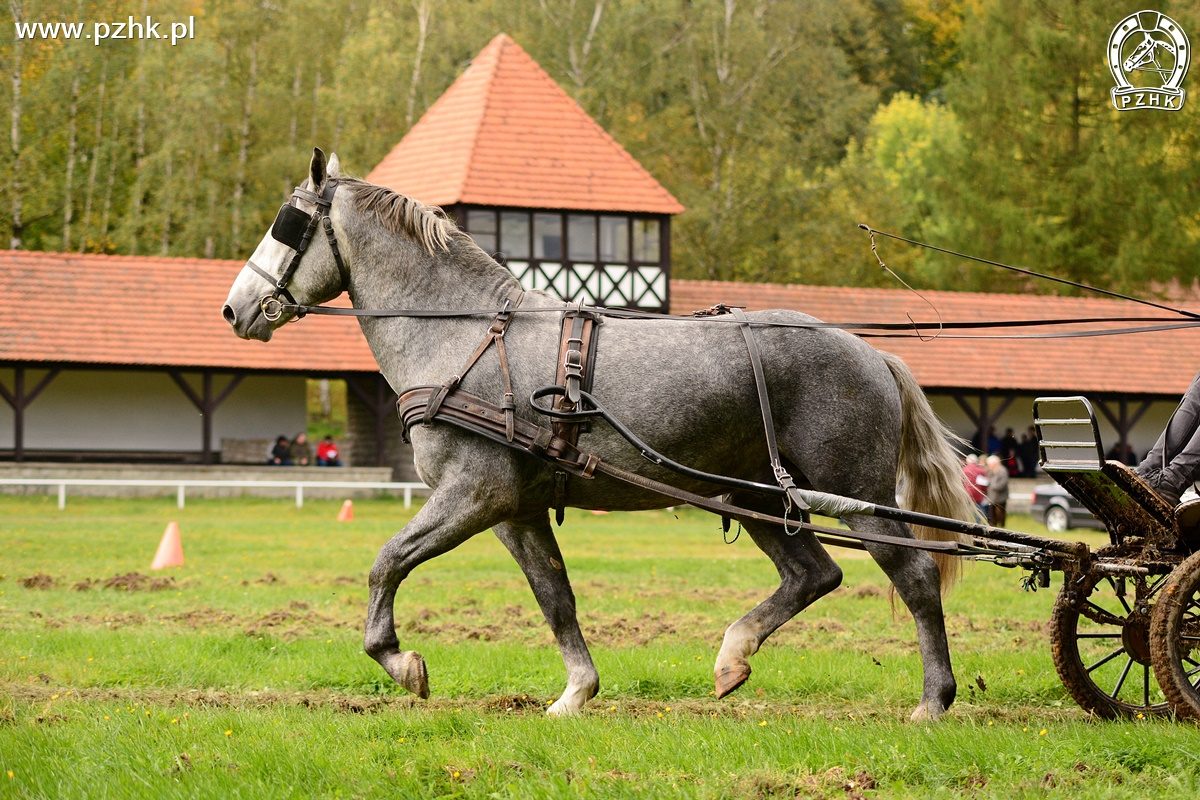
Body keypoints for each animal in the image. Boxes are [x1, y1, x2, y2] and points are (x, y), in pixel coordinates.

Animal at [223, 148, 974, 719]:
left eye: (288, 223)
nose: (235, 309)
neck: (465, 333)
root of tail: (872, 352)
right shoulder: (516, 510)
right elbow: (554, 596)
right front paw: (576, 694)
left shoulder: (474, 494)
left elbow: (387, 562)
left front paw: (400, 660)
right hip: (756, 495)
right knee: (814, 573)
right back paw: (732, 657)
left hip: (851, 490)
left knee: (912, 575)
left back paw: (933, 700)